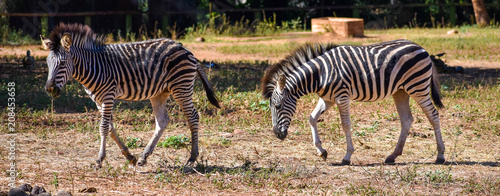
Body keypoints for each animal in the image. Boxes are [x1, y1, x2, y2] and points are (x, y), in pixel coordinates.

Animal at [42, 22, 222, 167]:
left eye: (63, 63)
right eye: (48, 63)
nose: (50, 89)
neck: (92, 66)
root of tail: (185, 48)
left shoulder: (108, 96)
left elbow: (103, 127)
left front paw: (100, 160)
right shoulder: (98, 100)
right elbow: (110, 129)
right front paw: (130, 157)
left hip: (181, 87)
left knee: (193, 117)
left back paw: (191, 158)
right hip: (159, 93)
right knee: (162, 121)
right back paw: (144, 157)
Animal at [262, 39, 446, 165]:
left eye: (278, 106)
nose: (277, 134)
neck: (320, 74)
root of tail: (420, 47)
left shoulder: (341, 96)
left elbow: (345, 124)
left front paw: (347, 156)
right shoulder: (327, 99)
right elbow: (312, 118)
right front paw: (321, 151)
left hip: (418, 87)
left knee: (433, 115)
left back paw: (440, 155)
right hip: (400, 92)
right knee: (407, 120)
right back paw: (393, 156)